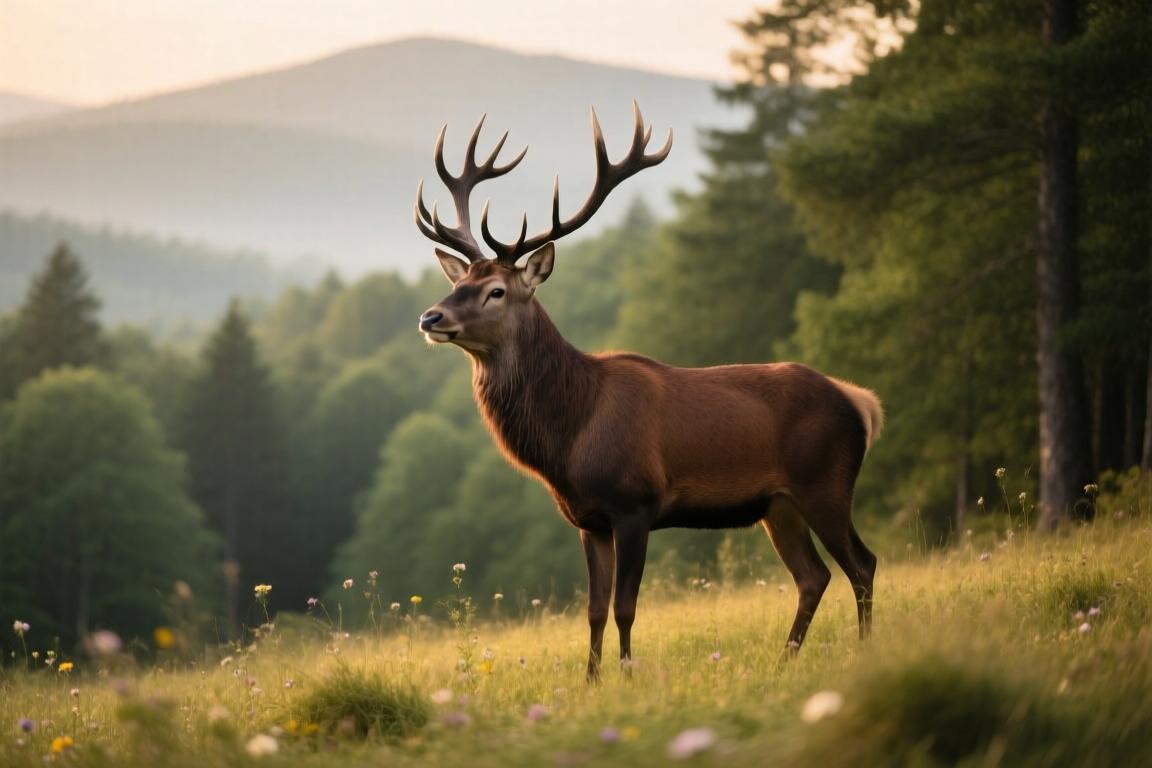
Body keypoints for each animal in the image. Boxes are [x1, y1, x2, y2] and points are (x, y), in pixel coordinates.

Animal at [414, 103, 883, 681]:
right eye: (458, 283)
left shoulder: (634, 503)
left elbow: (625, 607)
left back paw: (864, 649)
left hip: (827, 482)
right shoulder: (588, 520)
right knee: (813, 575)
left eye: (496, 291)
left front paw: (626, 676)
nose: (431, 317)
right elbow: (593, 609)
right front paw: (591, 681)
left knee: (862, 563)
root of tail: (861, 403)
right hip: (778, 505)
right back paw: (785, 658)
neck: (571, 434)